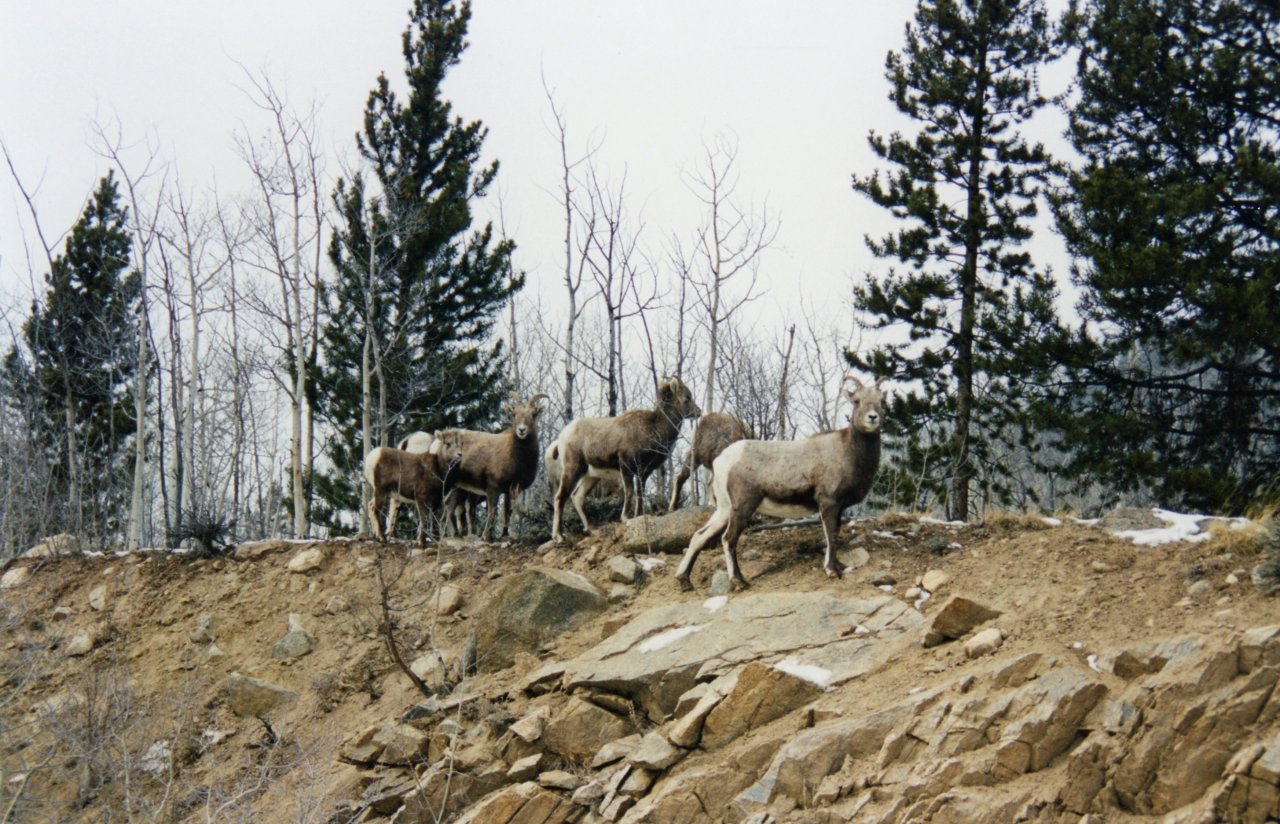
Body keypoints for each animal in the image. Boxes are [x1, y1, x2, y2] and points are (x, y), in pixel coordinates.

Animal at [550, 376, 701, 545]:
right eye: (686, 398)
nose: (699, 412)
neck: (653, 428)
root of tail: (561, 438)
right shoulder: (626, 466)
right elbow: (629, 492)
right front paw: (625, 518)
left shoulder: (643, 472)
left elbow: (640, 494)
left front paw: (638, 515)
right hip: (573, 469)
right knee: (560, 497)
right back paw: (558, 536)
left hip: (591, 475)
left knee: (577, 496)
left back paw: (590, 529)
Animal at [675, 376, 885, 588]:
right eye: (857, 401)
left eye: (881, 401)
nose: (872, 417)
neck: (849, 452)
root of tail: (721, 461)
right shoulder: (829, 503)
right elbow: (831, 535)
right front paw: (832, 571)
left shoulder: (838, 507)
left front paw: (839, 566)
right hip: (742, 507)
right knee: (728, 539)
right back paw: (739, 581)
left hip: (724, 510)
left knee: (699, 536)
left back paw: (685, 580)